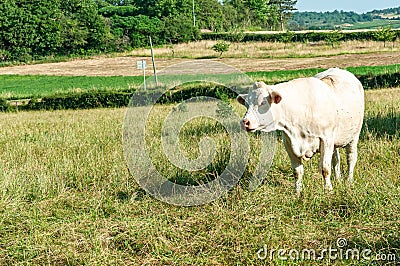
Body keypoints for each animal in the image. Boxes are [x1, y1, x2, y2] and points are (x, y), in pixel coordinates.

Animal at [238, 67, 366, 194]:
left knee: (351, 158)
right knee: (336, 159)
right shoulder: (288, 142)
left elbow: (325, 169)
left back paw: (349, 181)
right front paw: (297, 192)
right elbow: (297, 172)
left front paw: (328, 190)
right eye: (246, 104)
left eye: (263, 102)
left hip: (354, 136)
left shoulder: (326, 139)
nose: (245, 122)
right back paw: (338, 179)